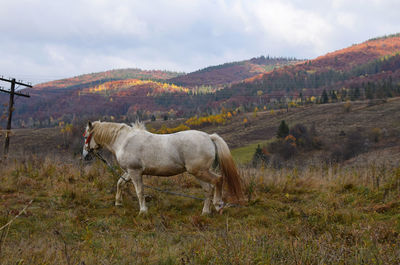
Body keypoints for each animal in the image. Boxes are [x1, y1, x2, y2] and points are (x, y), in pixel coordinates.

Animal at [83, 120, 242, 213]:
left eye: (85, 136)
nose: (85, 155)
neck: (124, 141)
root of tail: (209, 137)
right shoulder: (130, 171)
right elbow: (120, 183)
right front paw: (118, 203)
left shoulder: (135, 172)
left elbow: (139, 191)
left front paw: (143, 210)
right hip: (198, 173)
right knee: (208, 189)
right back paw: (205, 212)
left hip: (200, 171)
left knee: (218, 180)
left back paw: (218, 204)